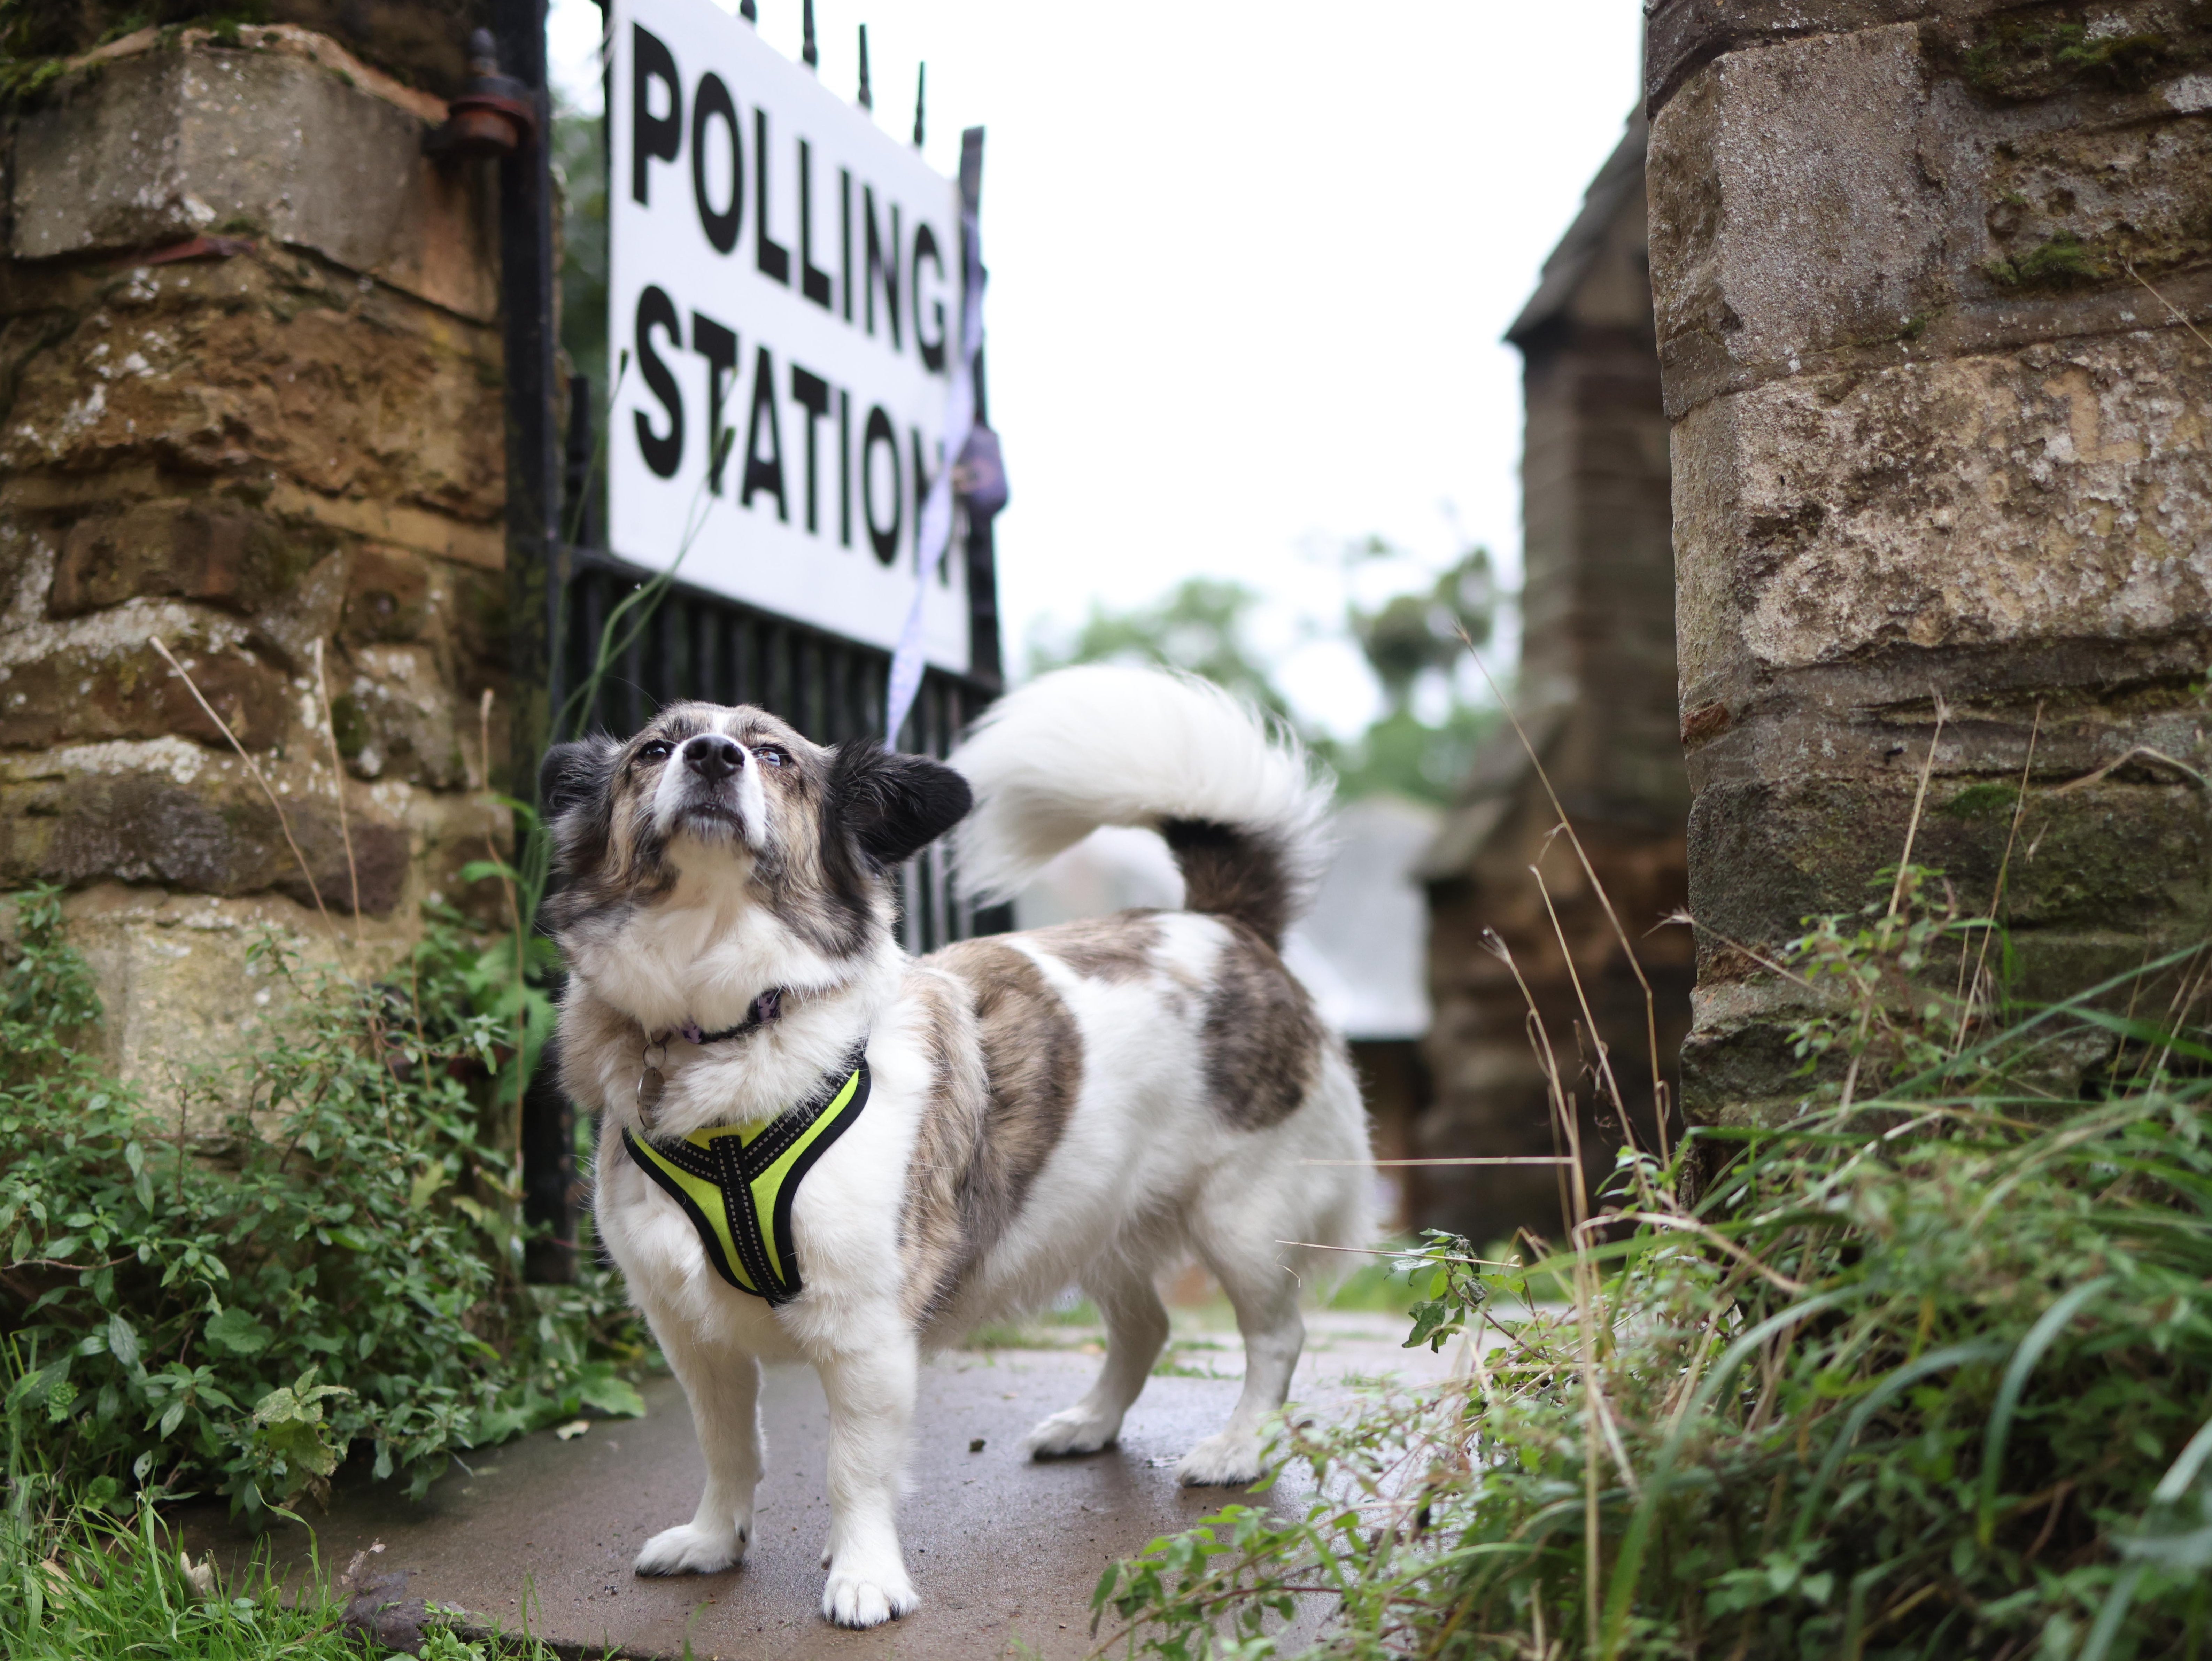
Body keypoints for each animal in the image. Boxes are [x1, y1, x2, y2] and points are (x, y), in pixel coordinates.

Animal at [540, 663, 1362, 1628]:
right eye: (653, 750)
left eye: (774, 755)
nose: (713, 756)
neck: (729, 1028)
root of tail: (1225, 924)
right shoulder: (691, 1330)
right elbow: (727, 1445)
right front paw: (714, 1539)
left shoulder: (864, 1328)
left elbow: (853, 1468)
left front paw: (864, 1575)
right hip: (1088, 1212)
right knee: (1146, 1325)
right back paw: (1089, 1423)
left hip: (1244, 1221)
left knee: (1275, 1336)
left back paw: (1239, 1444)